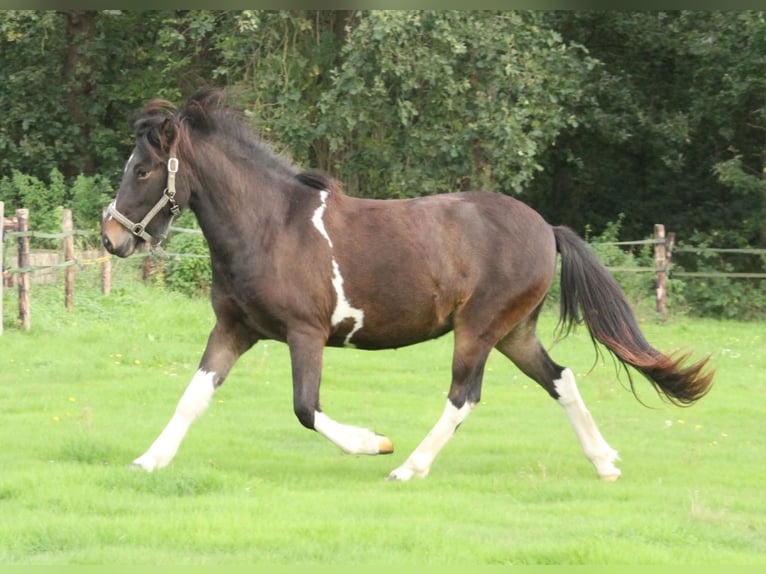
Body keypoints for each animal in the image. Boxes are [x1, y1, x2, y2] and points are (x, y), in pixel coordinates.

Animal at [102, 89, 714, 481]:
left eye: (142, 170)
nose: (112, 237)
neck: (271, 226)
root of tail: (547, 228)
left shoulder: (305, 333)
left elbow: (306, 408)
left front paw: (373, 442)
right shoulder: (234, 329)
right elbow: (193, 398)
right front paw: (148, 461)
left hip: (478, 329)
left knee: (464, 397)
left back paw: (407, 466)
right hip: (515, 332)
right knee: (560, 379)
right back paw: (605, 461)